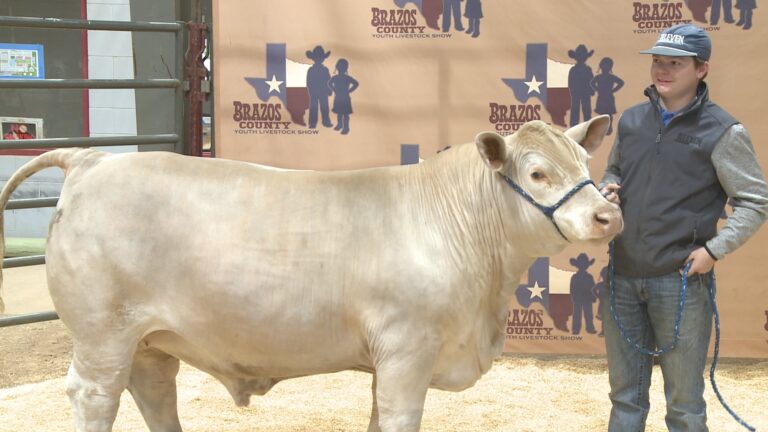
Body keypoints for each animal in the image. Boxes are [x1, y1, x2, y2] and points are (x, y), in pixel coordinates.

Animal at [0, 116, 620, 430]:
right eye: (537, 173)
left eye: (584, 163)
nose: (608, 214)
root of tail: (92, 159)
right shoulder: (407, 352)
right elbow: (399, 418)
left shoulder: (389, 363)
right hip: (101, 333)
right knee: (95, 396)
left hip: (148, 340)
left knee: (154, 394)